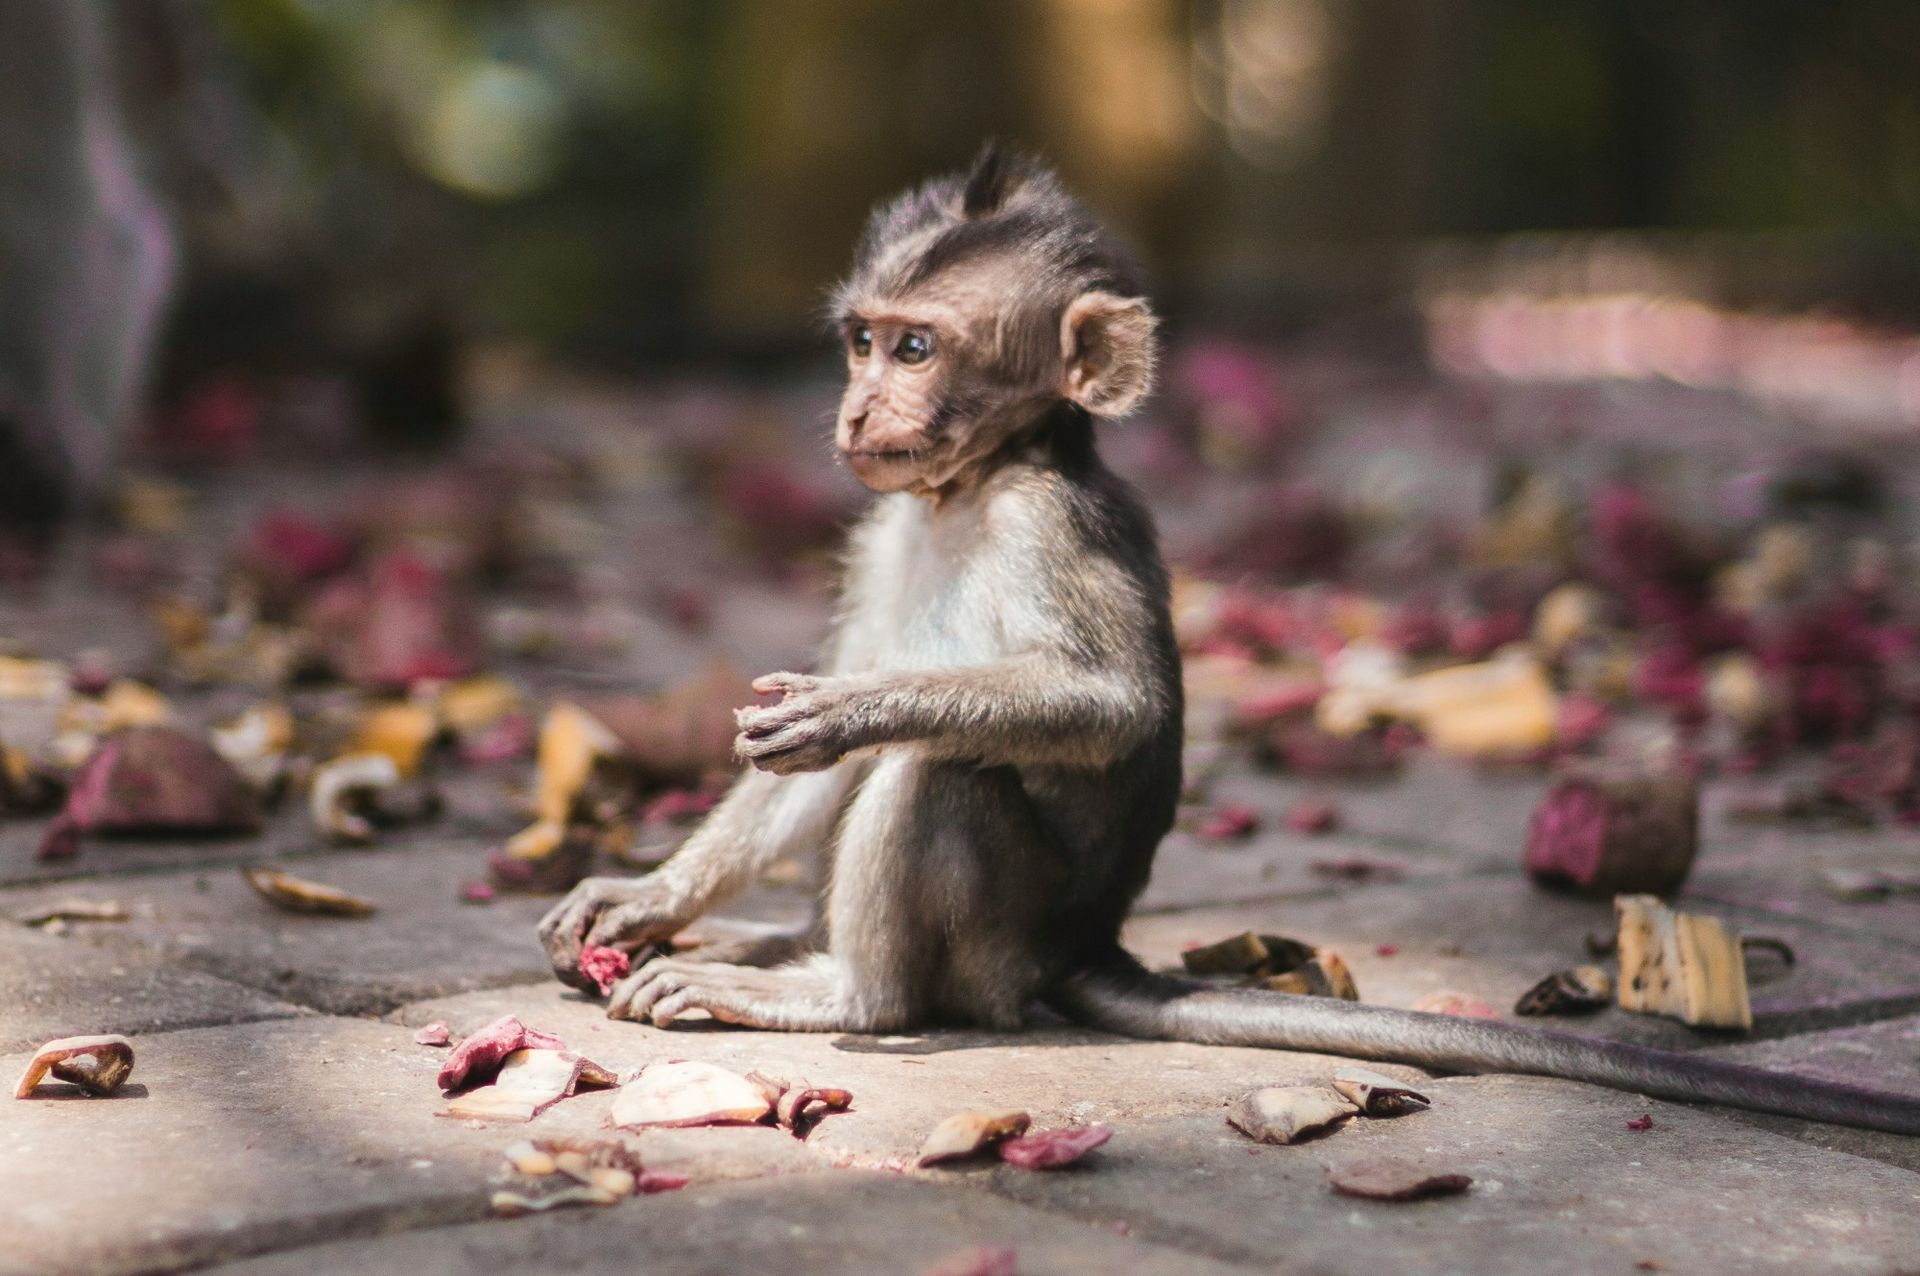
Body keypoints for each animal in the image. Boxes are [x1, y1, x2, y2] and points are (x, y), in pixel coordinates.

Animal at [538, 146, 1920, 1137]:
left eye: (917, 347)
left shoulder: (1052, 524)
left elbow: (1110, 708)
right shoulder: (885, 527)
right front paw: (647, 890)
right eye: (861, 340)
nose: (857, 408)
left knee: (941, 775)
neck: (975, 486)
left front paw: (852, 711)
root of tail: (1087, 941)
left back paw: (835, 990)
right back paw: (765, 941)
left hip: (1003, 939)